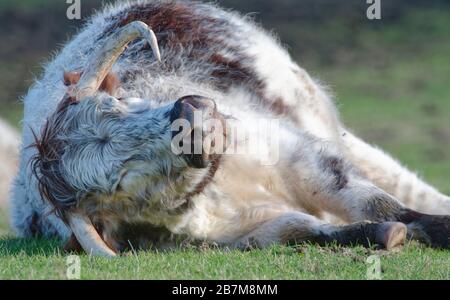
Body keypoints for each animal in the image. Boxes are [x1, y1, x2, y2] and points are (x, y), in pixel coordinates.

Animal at [8, 1, 448, 256]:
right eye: (119, 180)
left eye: (117, 101)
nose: (191, 116)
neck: (222, 183)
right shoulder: (250, 232)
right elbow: (308, 229)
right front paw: (385, 236)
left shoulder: (300, 154)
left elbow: (377, 201)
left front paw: (437, 227)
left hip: (310, 107)